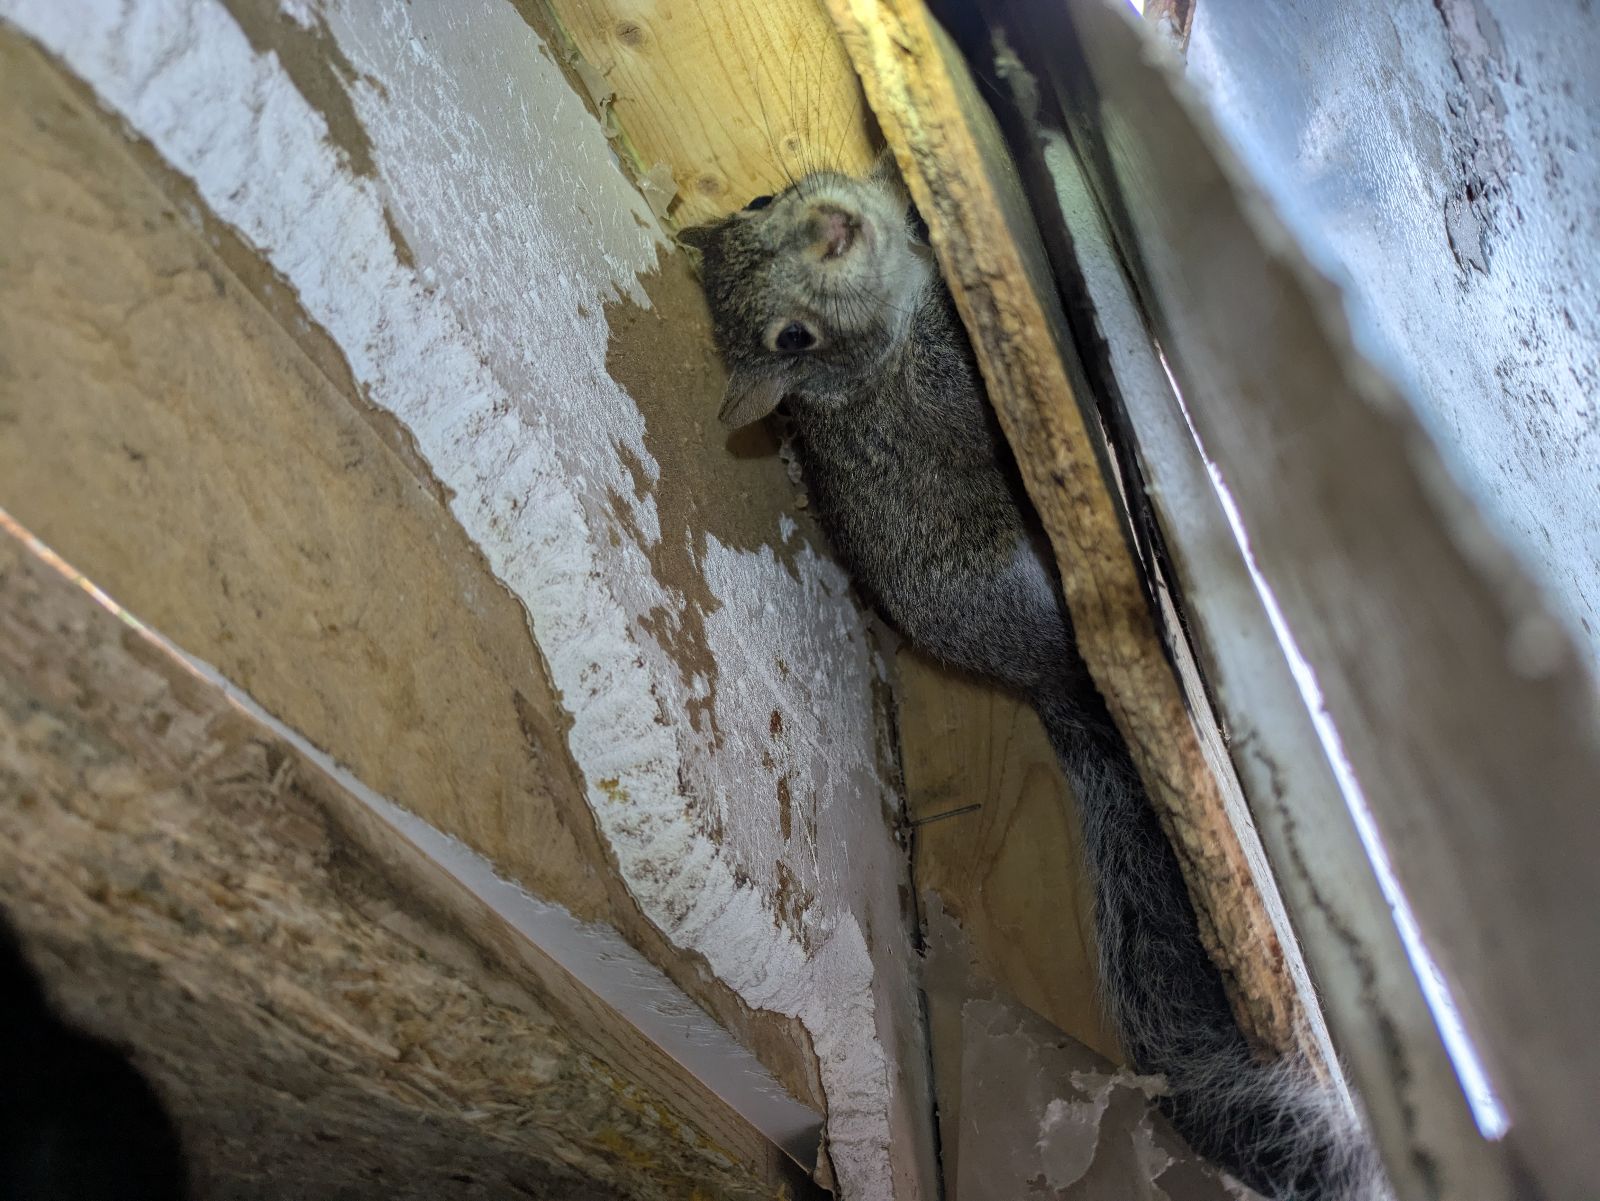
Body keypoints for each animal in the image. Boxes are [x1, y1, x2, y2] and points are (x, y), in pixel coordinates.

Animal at [681, 155, 1386, 1201]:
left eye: (761, 204)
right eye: (791, 338)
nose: (833, 228)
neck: (885, 334)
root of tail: (1040, 675)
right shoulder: (941, 384)